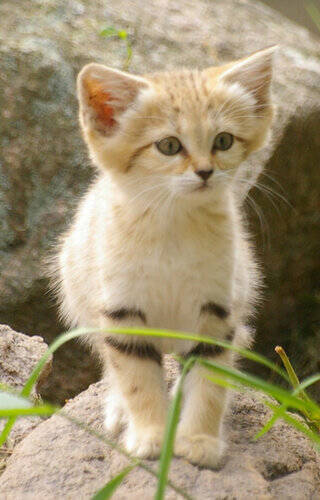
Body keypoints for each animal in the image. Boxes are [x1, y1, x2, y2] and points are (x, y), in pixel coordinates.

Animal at [50, 47, 276, 468]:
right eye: (169, 146)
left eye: (223, 141)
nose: (205, 171)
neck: (174, 225)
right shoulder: (122, 311)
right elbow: (137, 381)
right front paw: (151, 436)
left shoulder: (217, 312)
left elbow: (209, 383)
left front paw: (200, 440)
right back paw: (118, 410)